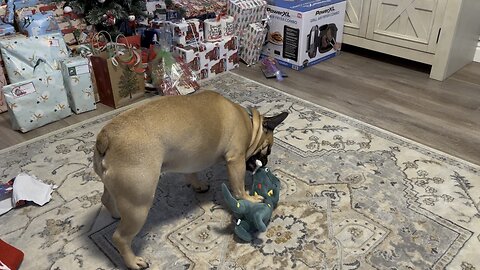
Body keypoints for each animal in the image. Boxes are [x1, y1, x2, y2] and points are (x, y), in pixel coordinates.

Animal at [94, 89, 288, 268]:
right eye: (267, 150)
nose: (265, 162)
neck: (250, 124)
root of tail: (106, 137)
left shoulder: (190, 160)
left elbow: (191, 174)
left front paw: (198, 185)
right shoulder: (236, 160)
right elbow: (238, 187)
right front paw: (250, 199)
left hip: (115, 189)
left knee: (106, 199)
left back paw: (115, 214)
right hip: (138, 204)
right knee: (120, 237)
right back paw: (133, 262)